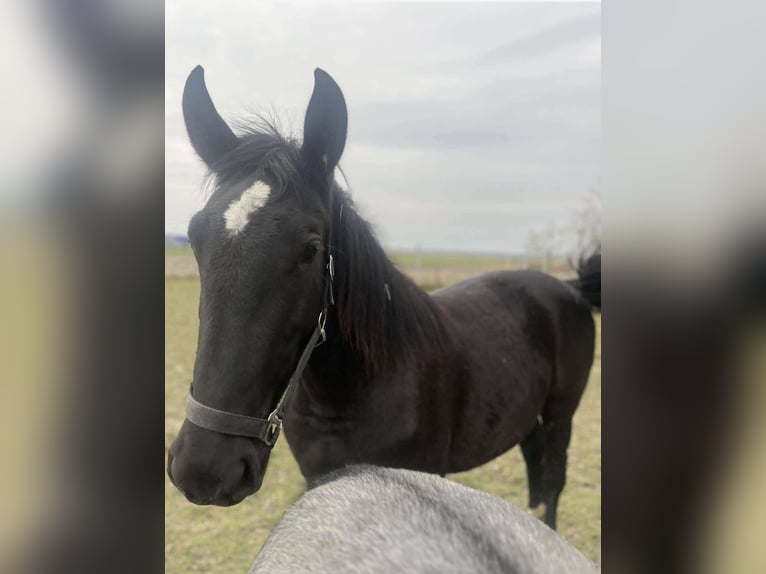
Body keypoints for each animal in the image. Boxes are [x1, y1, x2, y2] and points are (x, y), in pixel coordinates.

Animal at [167, 66, 600, 530]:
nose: (205, 467)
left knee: (551, 487)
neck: (358, 389)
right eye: (194, 238)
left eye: (311, 248)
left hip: (559, 417)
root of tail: (569, 288)